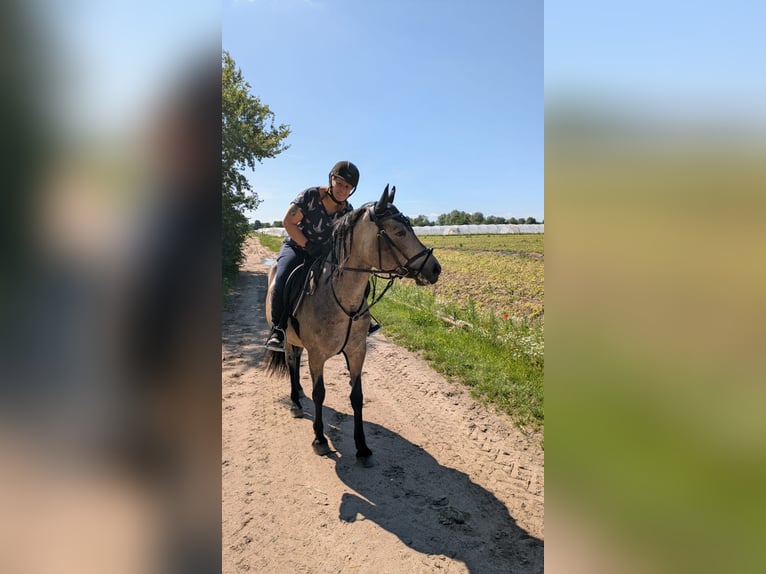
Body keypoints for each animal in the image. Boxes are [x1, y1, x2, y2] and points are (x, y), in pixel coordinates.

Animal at [263, 184, 441, 466]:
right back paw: (294, 402)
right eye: (399, 232)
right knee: (291, 363)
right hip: (288, 338)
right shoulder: (318, 355)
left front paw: (362, 447)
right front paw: (319, 440)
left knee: (296, 363)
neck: (339, 294)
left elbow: (357, 397)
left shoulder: (357, 351)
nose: (435, 269)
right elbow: (320, 393)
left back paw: (298, 392)